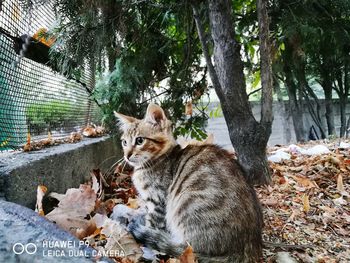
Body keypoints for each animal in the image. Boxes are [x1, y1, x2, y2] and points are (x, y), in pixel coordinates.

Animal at [114, 104, 262, 262]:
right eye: (124, 142)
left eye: (140, 140)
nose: (127, 155)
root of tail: (247, 248)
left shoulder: (158, 202)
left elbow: (153, 224)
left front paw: (148, 248)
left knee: (185, 247)